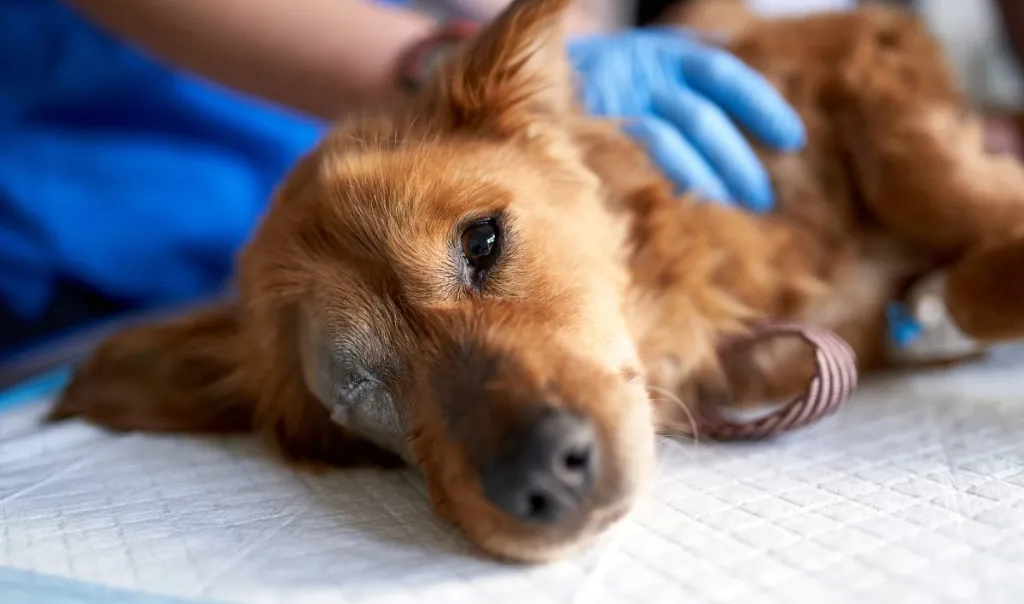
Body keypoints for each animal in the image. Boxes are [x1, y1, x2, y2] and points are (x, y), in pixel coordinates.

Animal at [49, 0, 1024, 565]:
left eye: (482, 242)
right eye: (357, 398)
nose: (544, 480)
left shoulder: (856, 46)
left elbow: (927, 177)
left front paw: (968, 266)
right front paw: (943, 303)